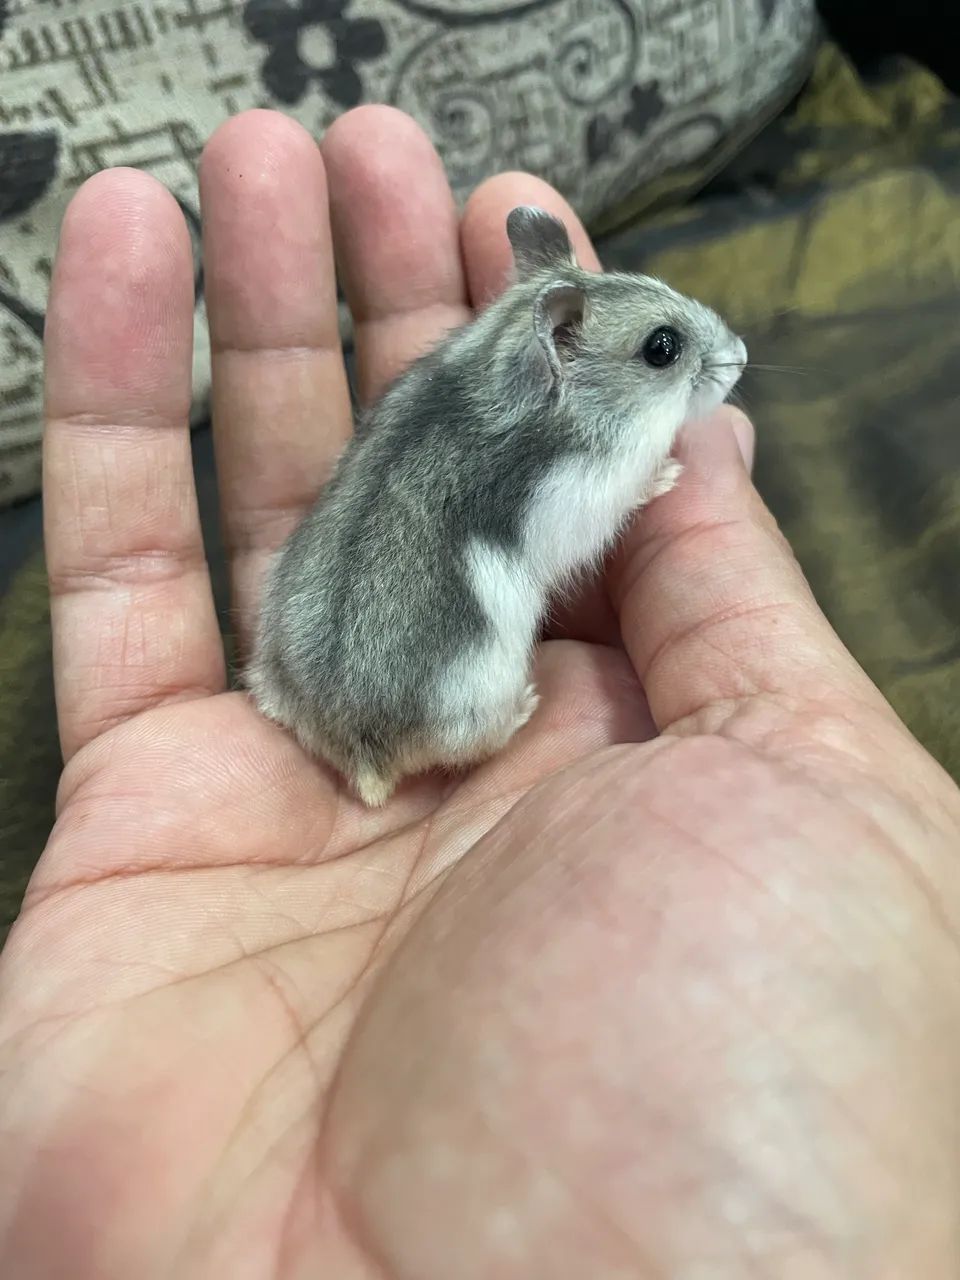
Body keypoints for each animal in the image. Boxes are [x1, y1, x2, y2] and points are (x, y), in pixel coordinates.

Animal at [247, 206, 746, 807]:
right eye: (662, 348)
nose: (743, 355)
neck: (505, 370)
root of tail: (360, 754)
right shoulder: (590, 498)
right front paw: (669, 473)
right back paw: (527, 706)